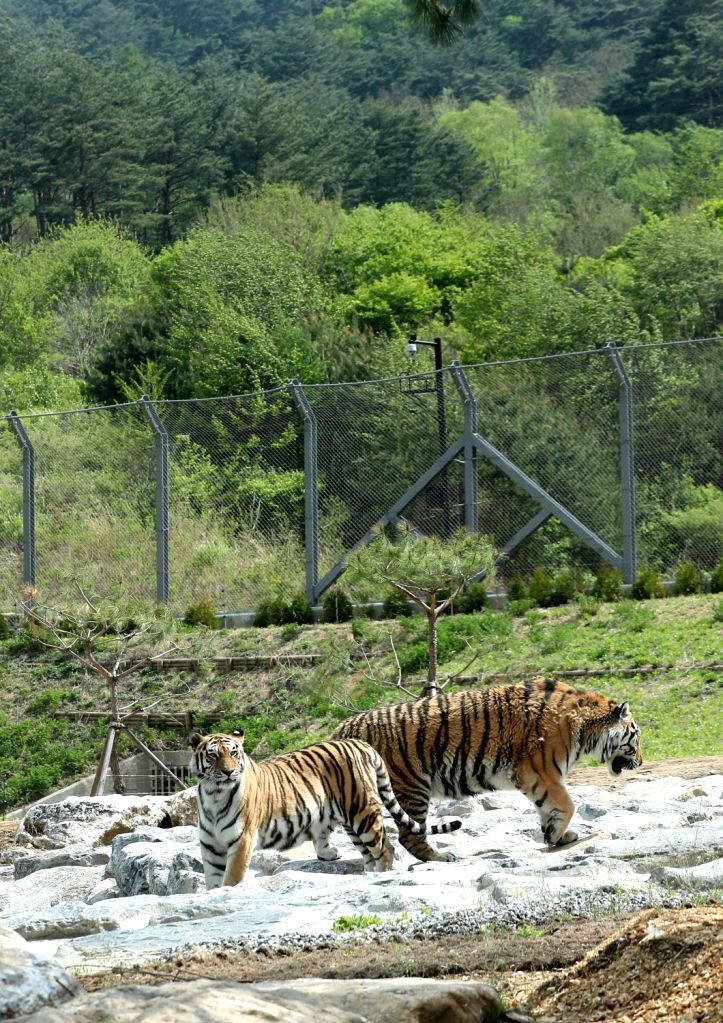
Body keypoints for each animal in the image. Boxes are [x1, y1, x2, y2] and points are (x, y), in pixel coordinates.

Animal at [188, 730, 462, 889]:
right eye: (212, 756)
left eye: (234, 753)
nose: (228, 772)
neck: (214, 795)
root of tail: (362, 744)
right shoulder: (211, 845)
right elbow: (212, 880)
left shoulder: (242, 840)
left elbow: (231, 879)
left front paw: (227, 891)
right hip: (351, 821)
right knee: (368, 853)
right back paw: (361, 871)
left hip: (363, 811)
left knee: (386, 848)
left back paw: (380, 876)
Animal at [331, 675, 642, 862]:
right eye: (636, 737)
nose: (641, 761)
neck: (586, 727)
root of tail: (343, 728)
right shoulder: (539, 771)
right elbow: (566, 804)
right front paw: (556, 836)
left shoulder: (537, 779)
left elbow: (548, 808)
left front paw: (555, 835)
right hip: (411, 787)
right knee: (410, 834)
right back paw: (440, 858)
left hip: (354, 795)